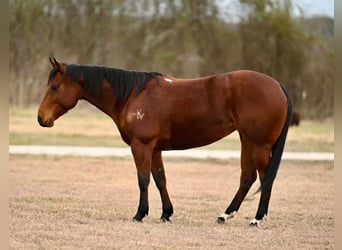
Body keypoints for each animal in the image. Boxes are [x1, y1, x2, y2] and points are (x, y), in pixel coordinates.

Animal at [38, 58, 292, 227]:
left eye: (55, 86)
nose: (41, 118)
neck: (133, 94)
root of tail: (278, 85)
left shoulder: (141, 146)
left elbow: (143, 180)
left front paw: (140, 214)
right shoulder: (155, 149)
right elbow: (160, 179)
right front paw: (166, 213)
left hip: (259, 145)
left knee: (265, 178)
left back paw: (257, 218)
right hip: (247, 140)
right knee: (247, 177)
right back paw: (226, 214)